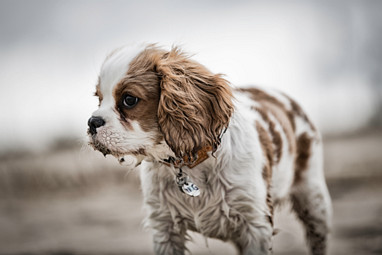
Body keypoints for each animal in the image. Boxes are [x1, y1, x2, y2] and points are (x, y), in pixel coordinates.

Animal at [89, 44, 332, 254]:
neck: (188, 165)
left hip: (314, 201)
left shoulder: (255, 223)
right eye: (98, 99)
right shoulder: (165, 228)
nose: (92, 122)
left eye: (129, 99)